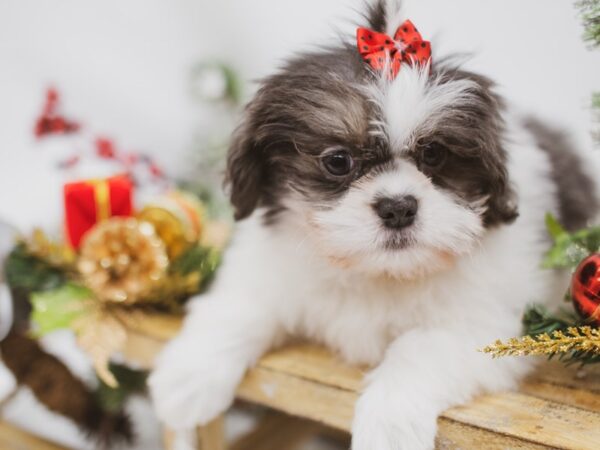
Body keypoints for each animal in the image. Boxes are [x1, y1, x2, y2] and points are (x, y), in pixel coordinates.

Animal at [148, 1, 596, 448]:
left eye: (434, 154)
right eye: (337, 160)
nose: (398, 208)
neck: (375, 272)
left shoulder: (481, 325)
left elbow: (418, 350)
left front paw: (389, 423)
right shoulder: (270, 268)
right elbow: (239, 307)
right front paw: (186, 377)